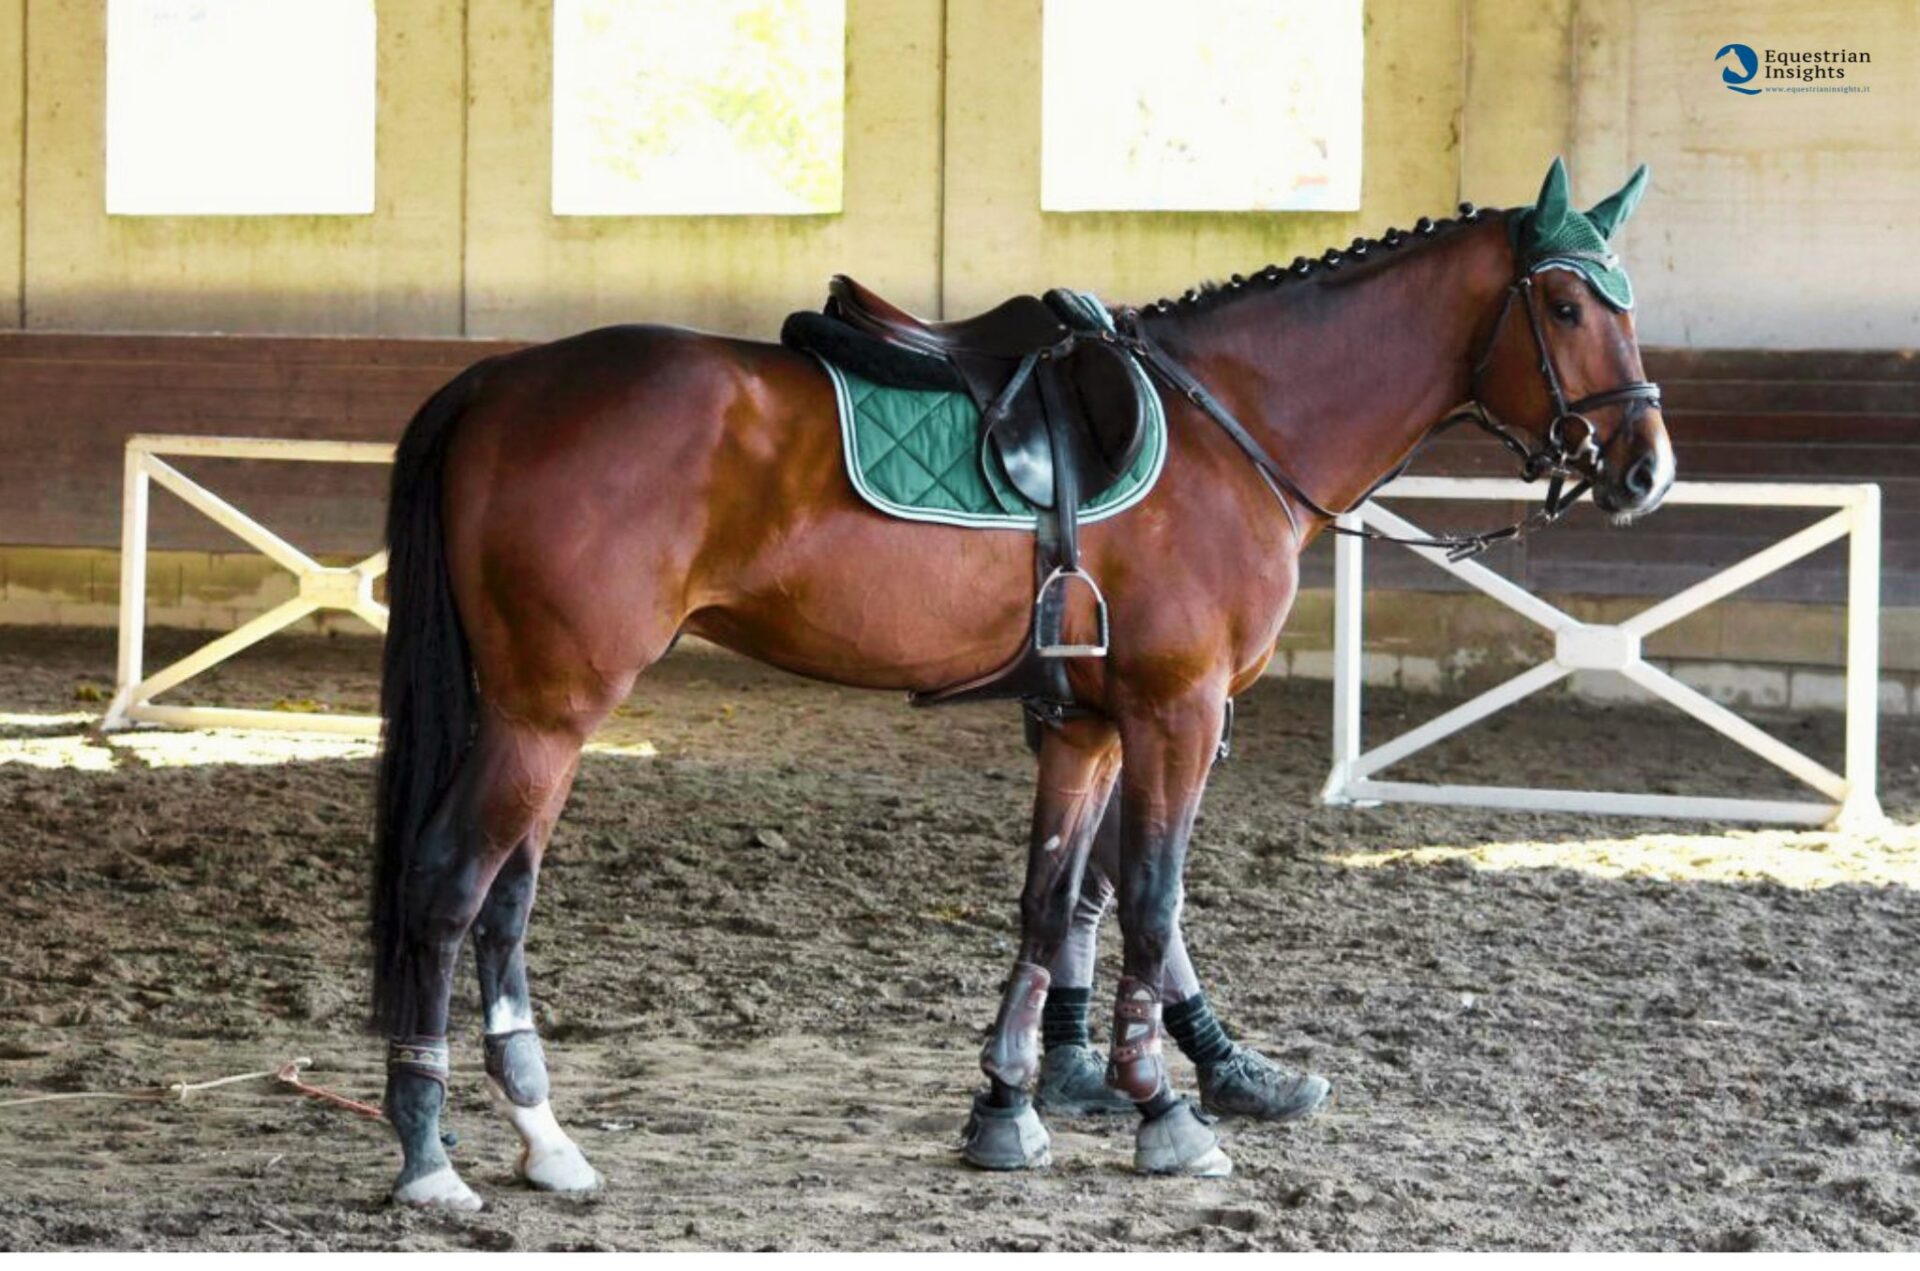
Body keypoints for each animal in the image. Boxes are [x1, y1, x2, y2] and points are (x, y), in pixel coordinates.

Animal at [368, 157, 1672, 1208]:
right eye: (1566, 304)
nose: (1646, 471)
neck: (1232, 428)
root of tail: (497, 382)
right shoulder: (1177, 711)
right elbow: (1150, 899)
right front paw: (1167, 1113)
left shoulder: (1088, 725)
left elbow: (1053, 904)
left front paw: (1008, 1107)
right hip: (548, 711)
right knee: (450, 886)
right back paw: (429, 1156)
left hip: (541, 714)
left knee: (503, 903)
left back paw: (544, 1142)